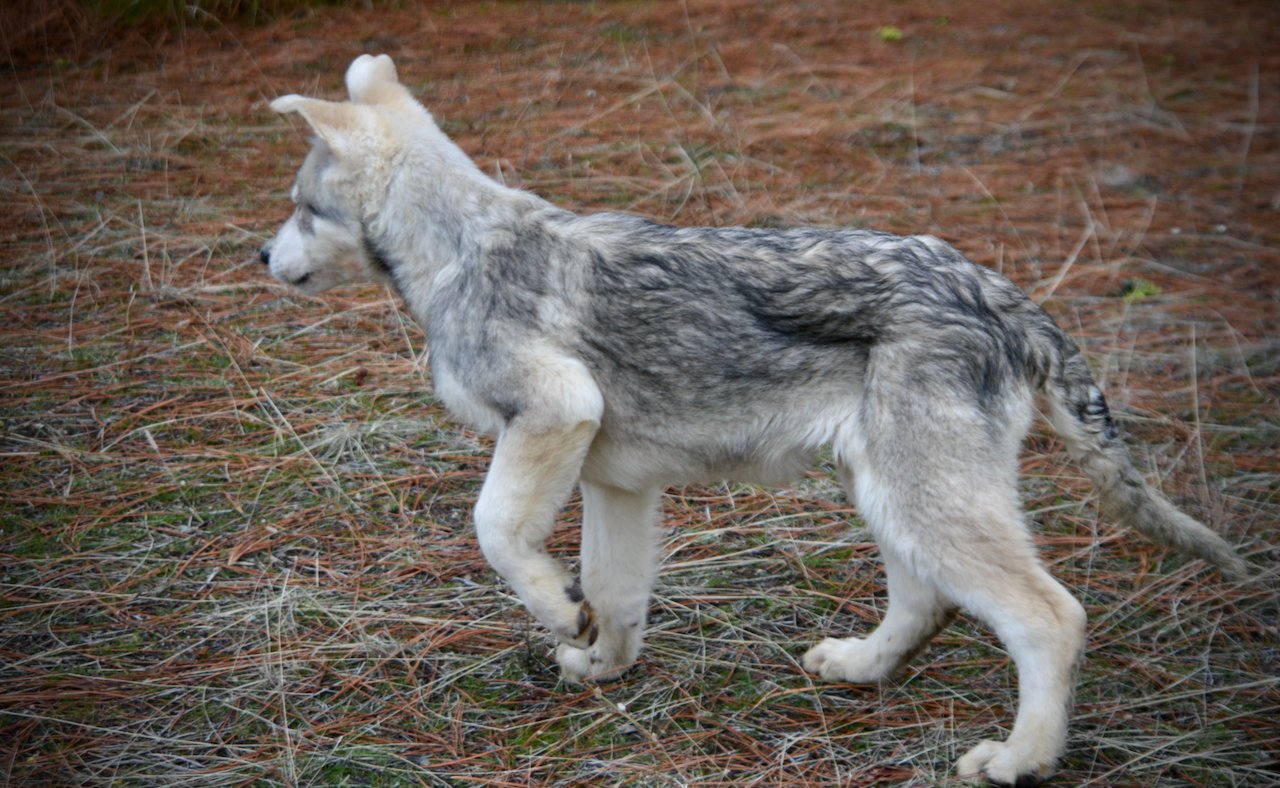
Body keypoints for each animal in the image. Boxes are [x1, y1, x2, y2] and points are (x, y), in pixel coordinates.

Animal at [262, 53, 1249, 782]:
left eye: (303, 208)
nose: (260, 257)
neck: (459, 252)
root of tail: (1001, 293)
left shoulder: (552, 414)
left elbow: (497, 532)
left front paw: (554, 611)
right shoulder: (616, 484)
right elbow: (617, 594)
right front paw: (600, 661)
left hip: (923, 501)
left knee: (1050, 617)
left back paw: (1019, 759)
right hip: (892, 496)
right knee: (926, 602)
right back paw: (860, 669)